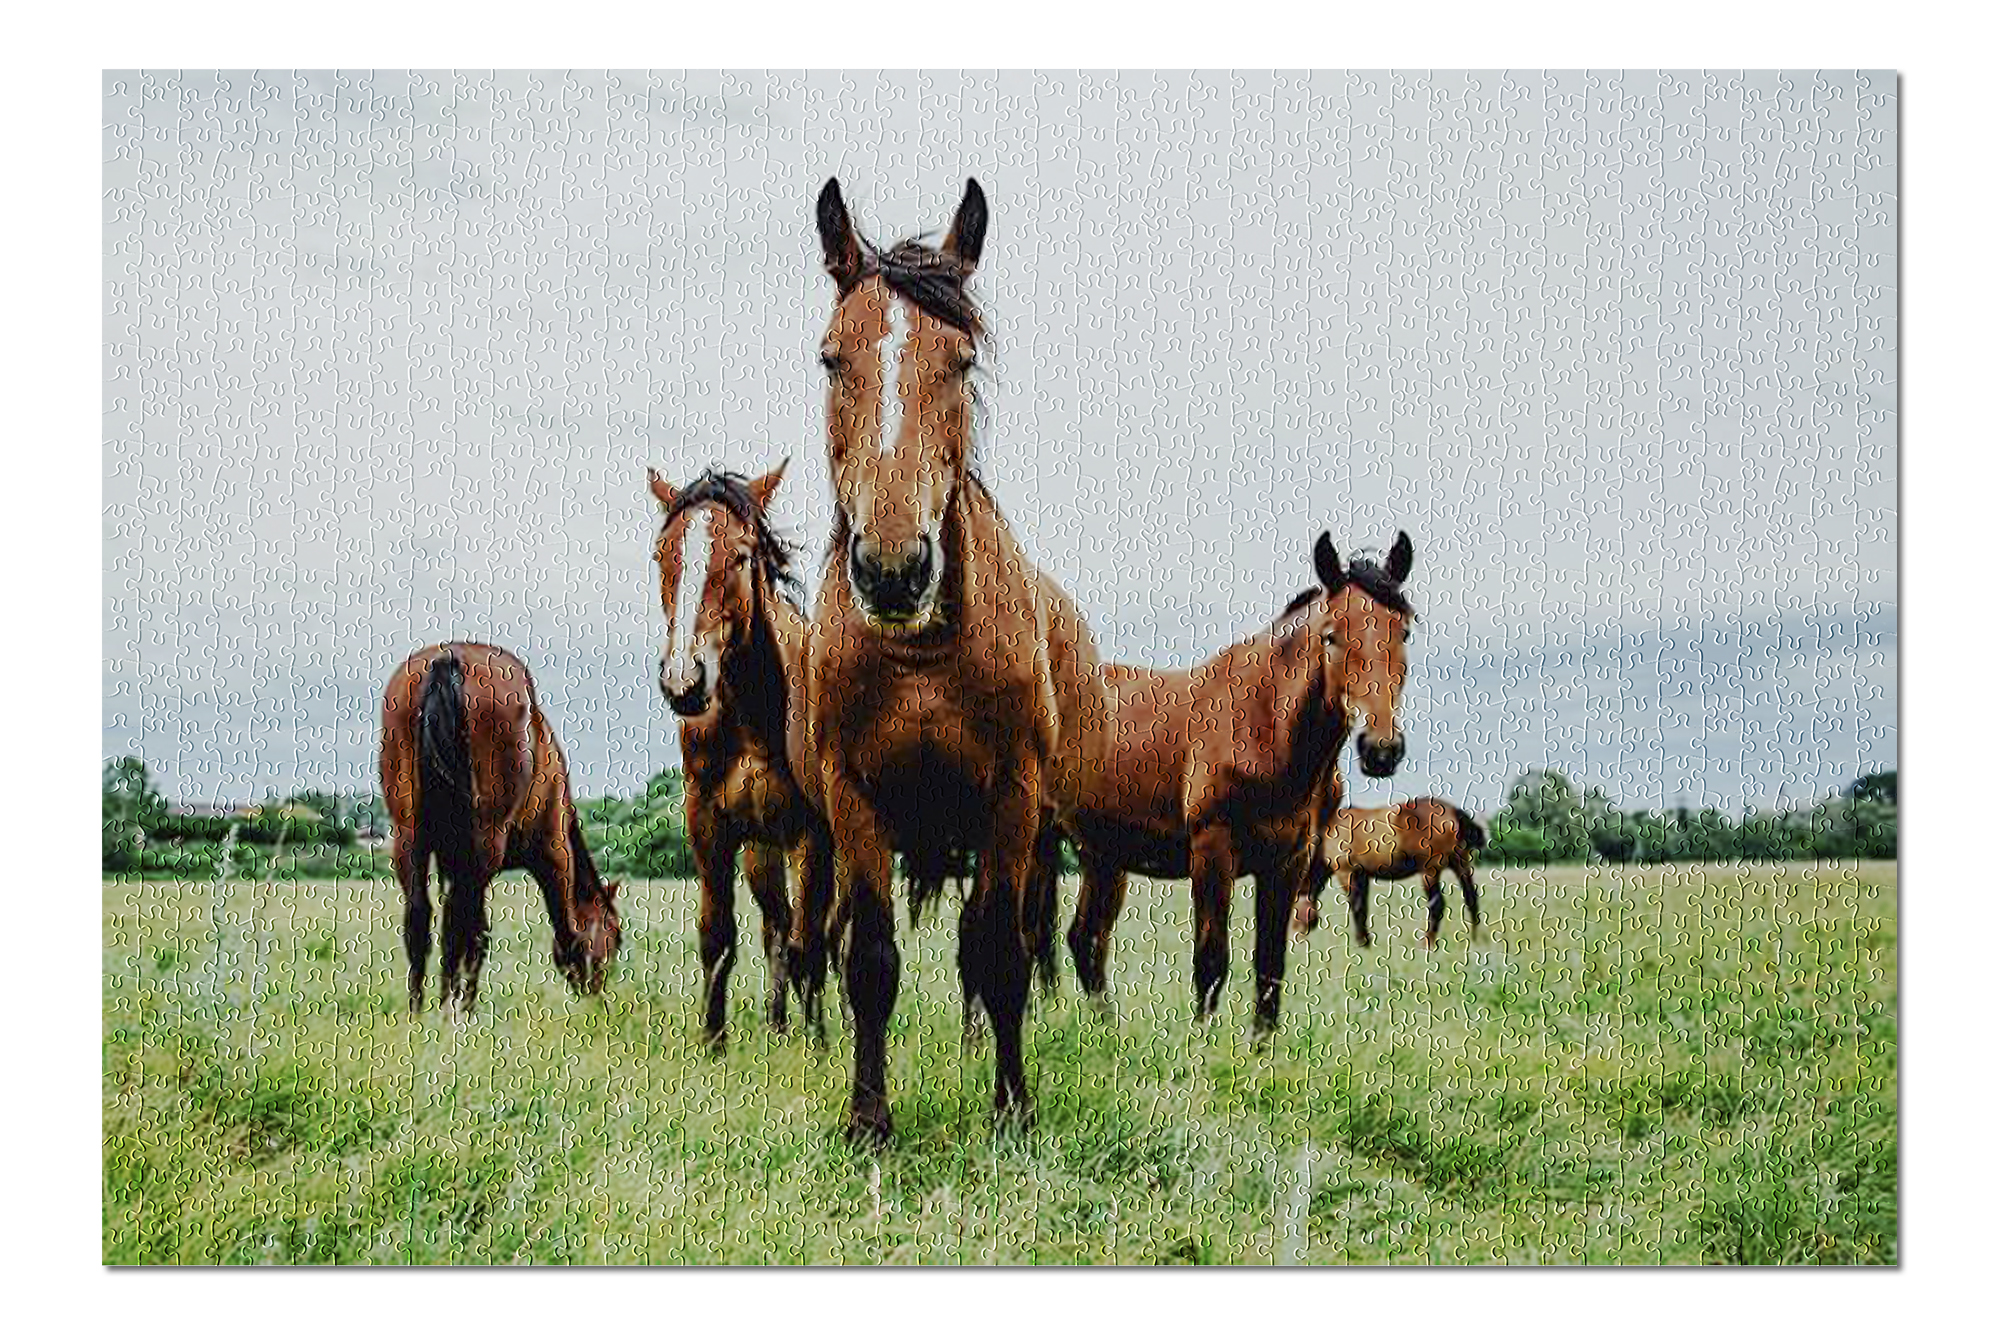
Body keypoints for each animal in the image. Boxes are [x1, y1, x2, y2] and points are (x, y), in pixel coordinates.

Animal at [380, 643, 622, 1015]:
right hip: (485, 841)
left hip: (409, 835)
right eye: (614, 935)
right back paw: (449, 1009)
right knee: (457, 923)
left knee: (420, 916)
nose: (596, 995)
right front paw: (465, 1003)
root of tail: (447, 658)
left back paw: (417, 1012)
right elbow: (480, 931)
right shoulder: (553, 850)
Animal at [650, 462, 835, 1046]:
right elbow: (718, 936)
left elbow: (811, 946)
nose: (684, 681)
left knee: (828, 934)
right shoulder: (709, 823)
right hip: (760, 853)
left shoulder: (812, 835)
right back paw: (777, 1025)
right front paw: (713, 1043)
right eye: (663, 553)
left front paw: (817, 1048)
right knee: (777, 927)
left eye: (740, 555)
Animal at [789, 177, 1111, 1143]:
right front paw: (869, 1117)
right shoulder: (854, 801)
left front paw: (1012, 1107)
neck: (922, 655)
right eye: (832, 359)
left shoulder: (1012, 799)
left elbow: (1000, 952)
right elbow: (868, 959)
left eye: (962, 362)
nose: (894, 566)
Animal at [1063, 532, 1416, 1035]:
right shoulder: (1213, 853)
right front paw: (1202, 1046)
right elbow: (1211, 961)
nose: (1381, 749)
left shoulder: (1288, 863)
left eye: (1403, 632)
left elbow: (1270, 967)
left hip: (1103, 856)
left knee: (1087, 938)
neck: (1263, 727)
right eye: (1331, 635)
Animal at [1292, 797, 1485, 948]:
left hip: (1430, 871)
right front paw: (1366, 941)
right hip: (1460, 864)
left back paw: (1427, 943)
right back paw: (1474, 940)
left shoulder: (1346, 874)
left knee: (1437, 904)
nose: (1296, 941)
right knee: (1471, 898)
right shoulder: (1362, 876)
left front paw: (1361, 943)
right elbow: (1362, 907)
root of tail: (1454, 812)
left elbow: (1356, 906)